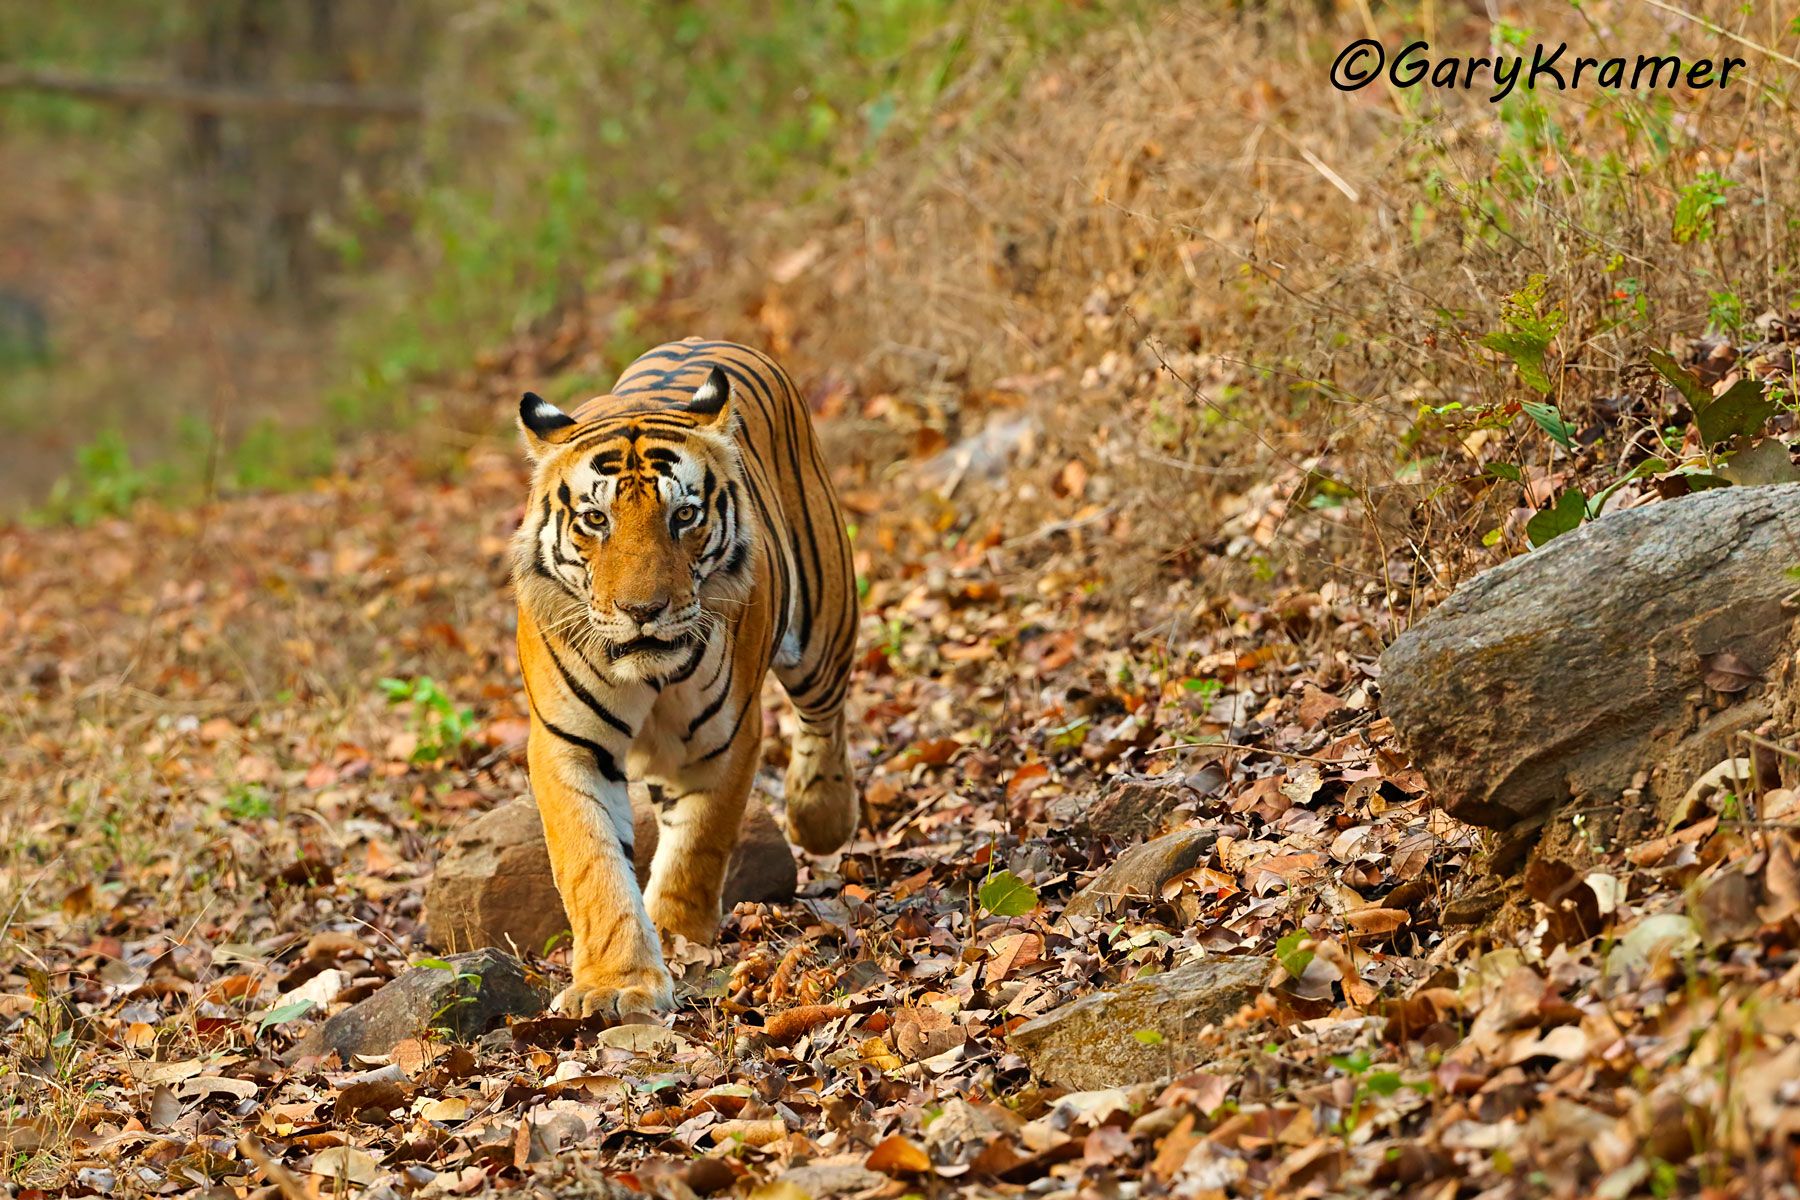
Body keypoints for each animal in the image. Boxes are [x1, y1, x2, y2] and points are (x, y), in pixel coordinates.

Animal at [509, 337, 860, 1019]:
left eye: (685, 515)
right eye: (596, 519)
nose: (642, 610)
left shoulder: (724, 738)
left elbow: (698, 843)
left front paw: (676, 937)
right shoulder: (568, 745)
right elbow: (593, 865)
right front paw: (616, 982)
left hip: (823, 627)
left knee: (822, 716)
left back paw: (820, 814)